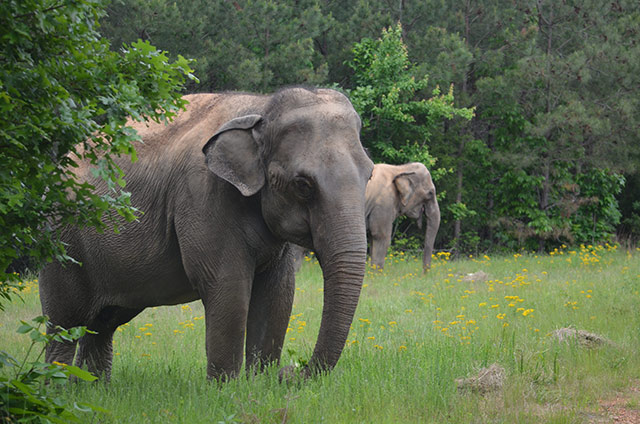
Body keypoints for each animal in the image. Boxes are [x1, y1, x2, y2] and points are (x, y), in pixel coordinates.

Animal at [40, 86, 372, 380]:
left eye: (368, 175)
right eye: (303, 185)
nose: (289, 372)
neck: (261, 108)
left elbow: (278, 292)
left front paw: (260, 384)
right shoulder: (203, 196)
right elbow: (228, 286)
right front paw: (227, 389)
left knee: (103, 324)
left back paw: (92, 388)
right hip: (63, 245)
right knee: (65, 324)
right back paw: (59, 387)